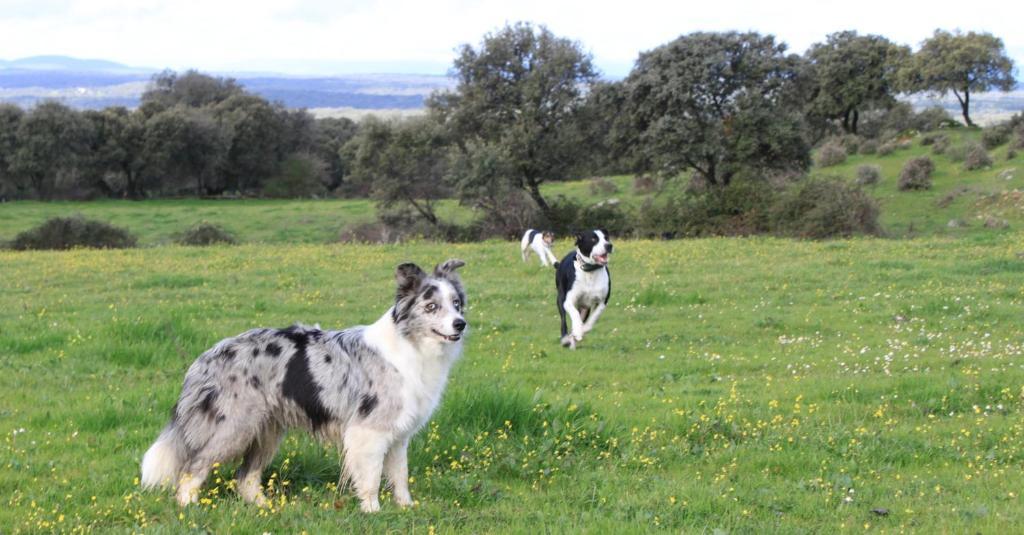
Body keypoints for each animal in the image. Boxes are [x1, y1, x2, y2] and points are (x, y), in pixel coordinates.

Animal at [141, 260, 468, 510]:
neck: (410, 344)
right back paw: (189, 508)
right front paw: (373, 511)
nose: (460, 324)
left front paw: (406, 508)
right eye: (431, 306)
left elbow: (400, 475)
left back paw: (265, 509)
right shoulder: (369, 430)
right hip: (233, 426)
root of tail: (205, 357)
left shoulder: (398, 434)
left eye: (456, 304)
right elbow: (372, 477)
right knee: (193, 467)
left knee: (245, 476)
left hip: (267, 430)